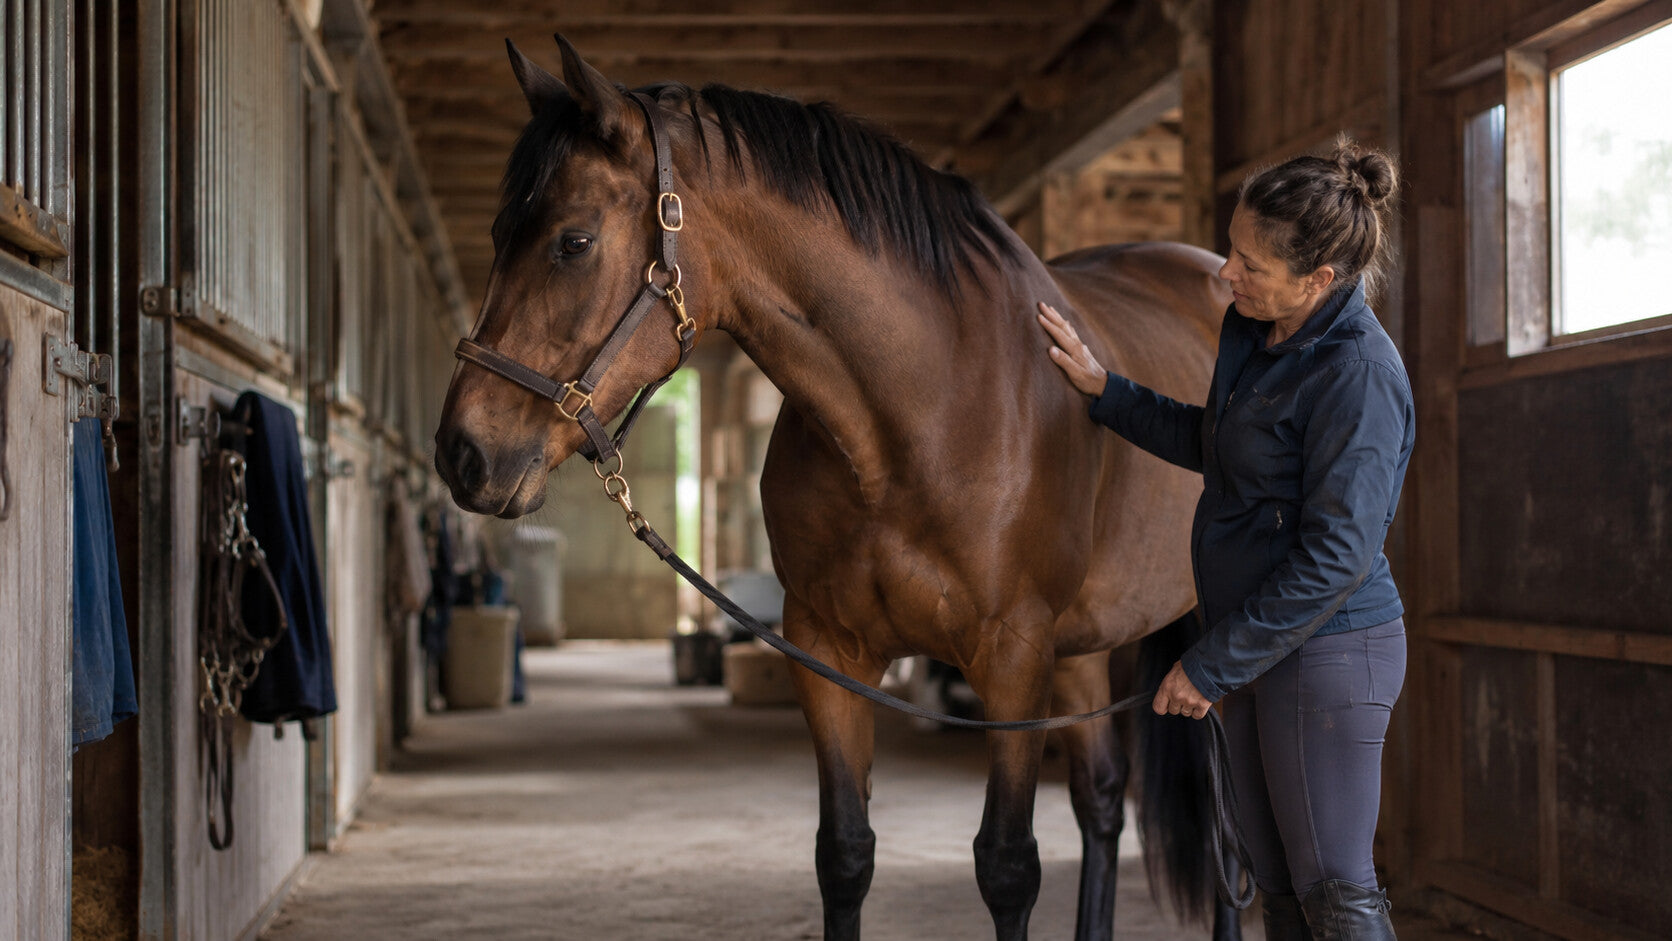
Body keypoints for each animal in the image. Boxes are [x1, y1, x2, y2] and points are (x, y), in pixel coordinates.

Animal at [433, 35, 1239, 941]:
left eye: (572, 241)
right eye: (500, 232)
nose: (462, 452)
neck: (921, 406)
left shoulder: (1012, 658)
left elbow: (1007, 865)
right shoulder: (827, 651)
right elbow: (844, 853)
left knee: (1227, 826)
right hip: (1089, 645)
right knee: (1103, 800)